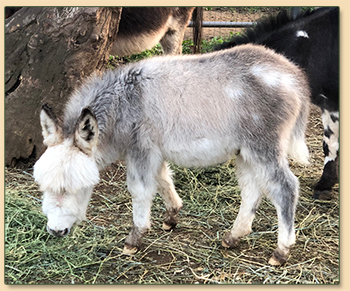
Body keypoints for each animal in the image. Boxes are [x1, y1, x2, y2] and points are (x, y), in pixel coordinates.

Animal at [34, 44, 310, 266]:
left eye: (77, 188)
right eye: (43, 187)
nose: (56, 231)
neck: (124, 102)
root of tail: (293, 76)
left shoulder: (141, 150)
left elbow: (140, 190)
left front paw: (134, 240)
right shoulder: (154, 152)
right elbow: (164, 180)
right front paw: (171, 217)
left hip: (263, 147)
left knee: (285, 188)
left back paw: (281, 251)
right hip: (246, 152)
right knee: (251, 189)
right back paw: (233, 237)